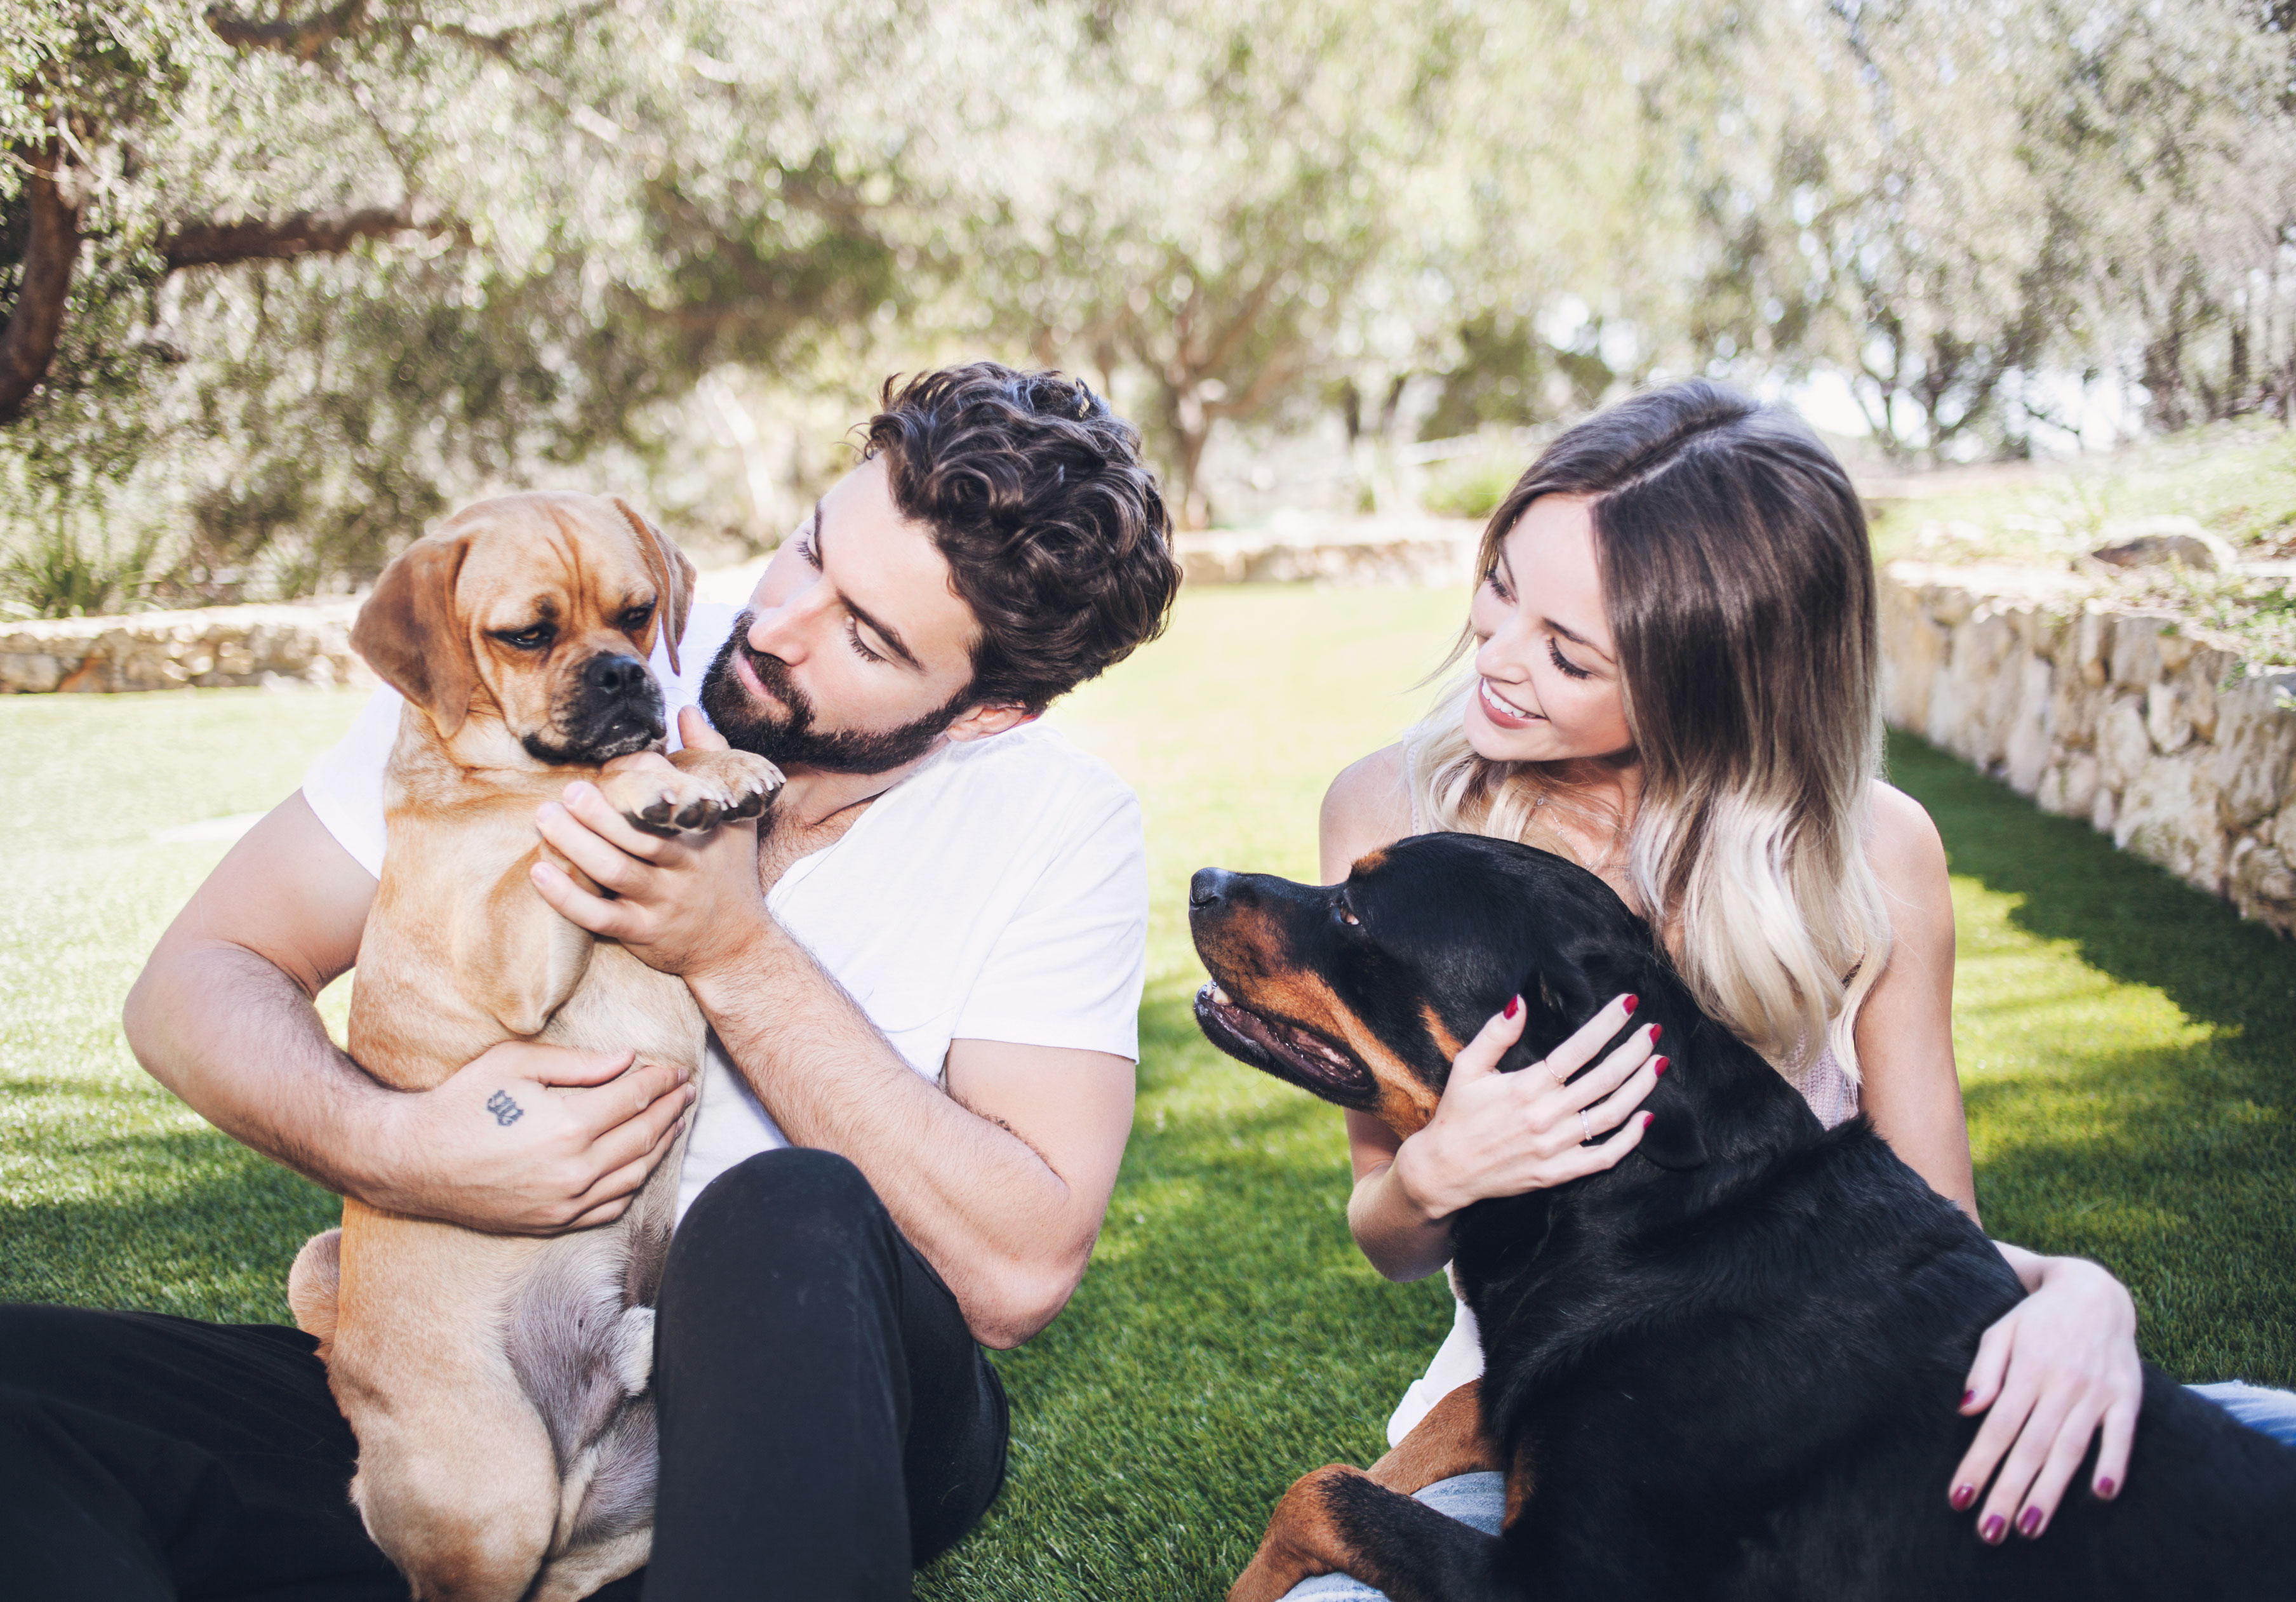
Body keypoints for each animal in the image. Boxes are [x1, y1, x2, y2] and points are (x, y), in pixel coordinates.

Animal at [284, 488, 789, 1597]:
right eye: (527, 633)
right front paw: (642, 783)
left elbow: (664, 757)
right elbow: (572, 818)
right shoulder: (509, 944)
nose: (623, 676)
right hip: (499, 1496)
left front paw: (714, 762)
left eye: (639, 614)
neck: (503, 779)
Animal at [1194, 831, 2286, 1588]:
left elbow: (1321, 1487)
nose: (1201, 879)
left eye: (1354, 912)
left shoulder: (1564, 1578)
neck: (1645, 1208)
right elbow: (1434, 1421)